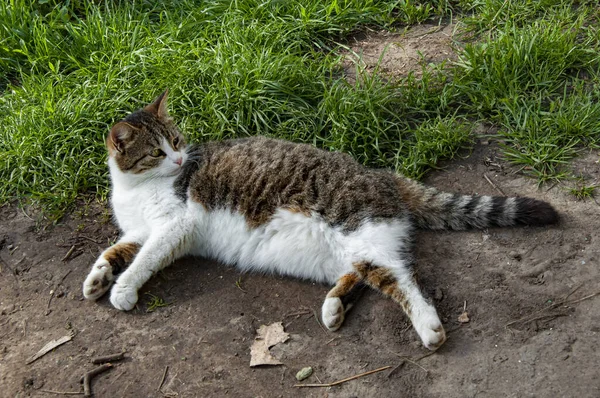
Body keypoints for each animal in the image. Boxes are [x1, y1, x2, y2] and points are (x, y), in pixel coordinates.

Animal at [82, 91, 560, 352]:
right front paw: (97, 279)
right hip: (341, 252)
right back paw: (334, 307)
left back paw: (430, 329)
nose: (181, 159)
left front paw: (122, 290)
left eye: (177, 141)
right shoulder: (139, 230)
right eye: (156, 151)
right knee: (365, 276)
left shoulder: (172, 227)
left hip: (362, 234)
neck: (133, 186)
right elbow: (115, 249)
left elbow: (144, 259)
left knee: (405, 280)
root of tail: (382, 174)